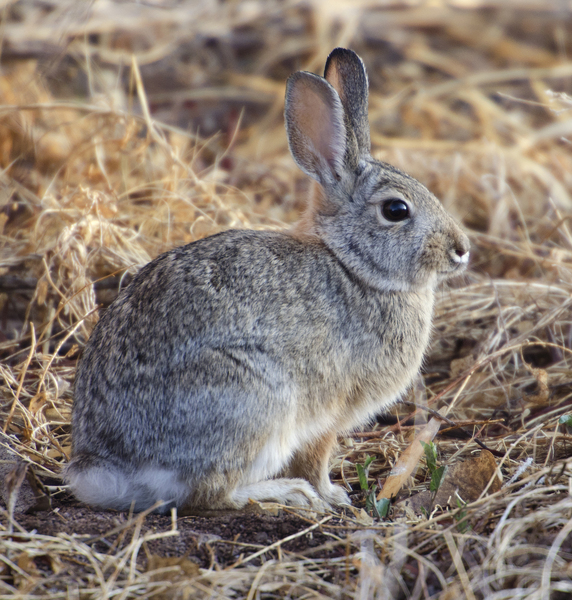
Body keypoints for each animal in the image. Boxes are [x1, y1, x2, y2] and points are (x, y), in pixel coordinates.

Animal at [66, 49, 470, 512]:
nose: (462, 248)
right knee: (214, 492)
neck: (352, 264)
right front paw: (332, 495)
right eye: (396, 210)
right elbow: (315, 459)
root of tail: (108, 467)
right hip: (257, 401)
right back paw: (288, 493)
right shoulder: (328, 413)